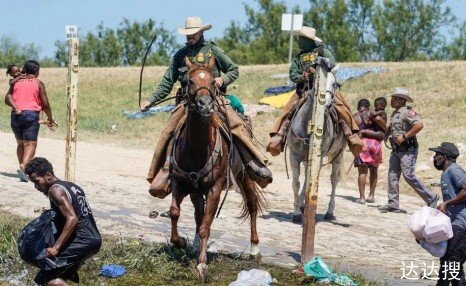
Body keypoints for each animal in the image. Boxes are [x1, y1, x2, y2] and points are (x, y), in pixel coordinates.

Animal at [168, 57, 264, 280]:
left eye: (213, 81)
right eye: (190, 81)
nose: (205, 105)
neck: (196, 149)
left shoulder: (215, 189)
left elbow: (206, 226)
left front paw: (202, 264)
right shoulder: (179, 182)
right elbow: (175, 212)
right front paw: (181, 242)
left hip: (245, 176)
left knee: (252, 205)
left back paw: (254, 249)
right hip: (196, 191)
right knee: (198, 213)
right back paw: (195, 245)